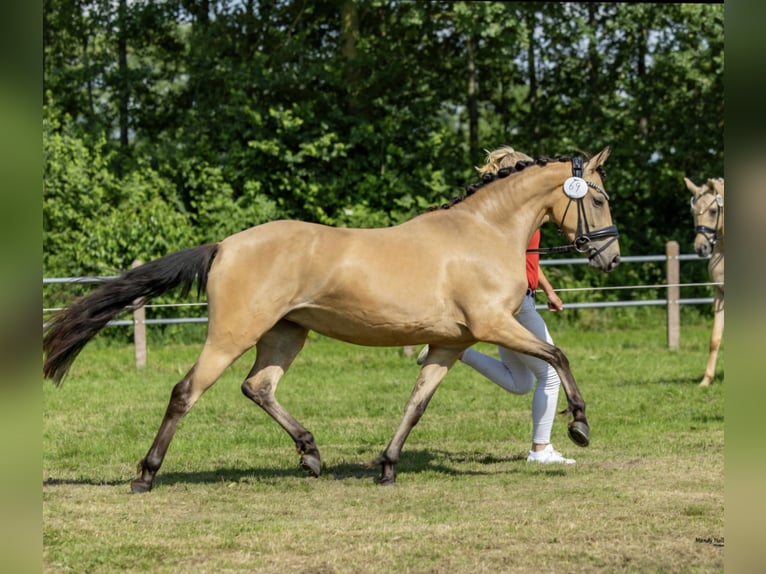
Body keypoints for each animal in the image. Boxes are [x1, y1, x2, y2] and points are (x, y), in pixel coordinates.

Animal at [43, 146, 620, 491]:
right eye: (598, 198)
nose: (609, 258)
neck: (481, 233)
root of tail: (225, 245)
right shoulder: (493, 326)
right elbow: (557, 354)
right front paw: (581, 426)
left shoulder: (451, 344)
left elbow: (416, 404)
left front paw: (386, 467)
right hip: (232, 334)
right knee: (187, 391)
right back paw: (146, 474)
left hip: (285, 335)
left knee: (258, 387)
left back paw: (311, 454)